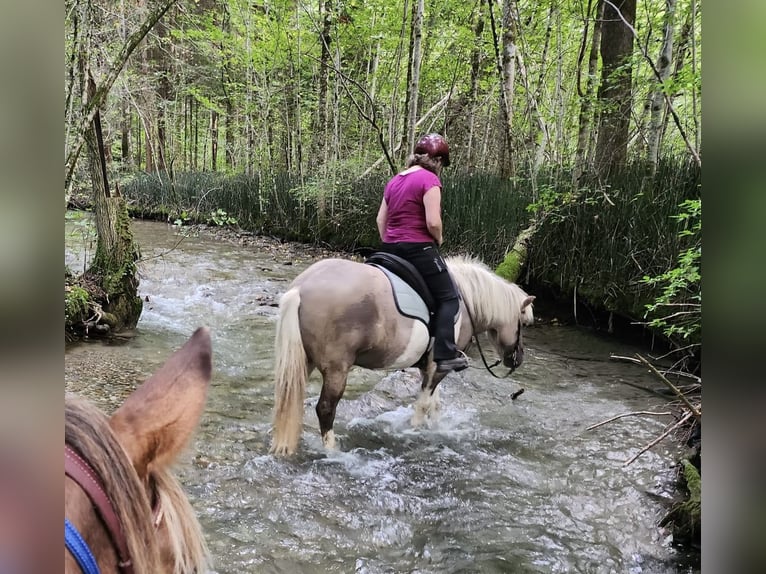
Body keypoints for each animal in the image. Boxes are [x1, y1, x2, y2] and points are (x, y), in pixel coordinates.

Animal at [272, 258, 536, 456]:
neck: (466, 301)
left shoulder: (429, 366)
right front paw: (416, 431)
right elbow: (424, 404)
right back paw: (332, 451)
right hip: (337, 369)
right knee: (326, 409)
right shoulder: (438, 367)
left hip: (305, 362)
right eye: (524, 324)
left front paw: (437, 429)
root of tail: (301, 288)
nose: (518, 359)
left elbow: (435, 403)